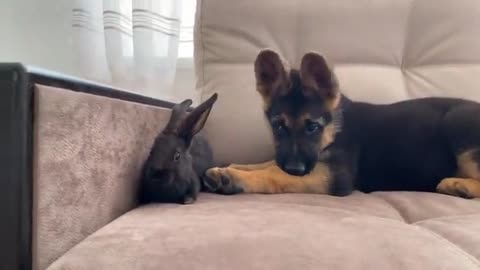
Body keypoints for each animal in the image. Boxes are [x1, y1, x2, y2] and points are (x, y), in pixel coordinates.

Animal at [204, 49, 480, 198]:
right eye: (278, 126)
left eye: (312, 127)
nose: (295, 168)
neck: (334, 130)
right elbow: (268, 162)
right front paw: (231, 167)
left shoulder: (333, 176)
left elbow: (273, 173)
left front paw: (232, 177)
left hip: (458, 123)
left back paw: (459, 185)